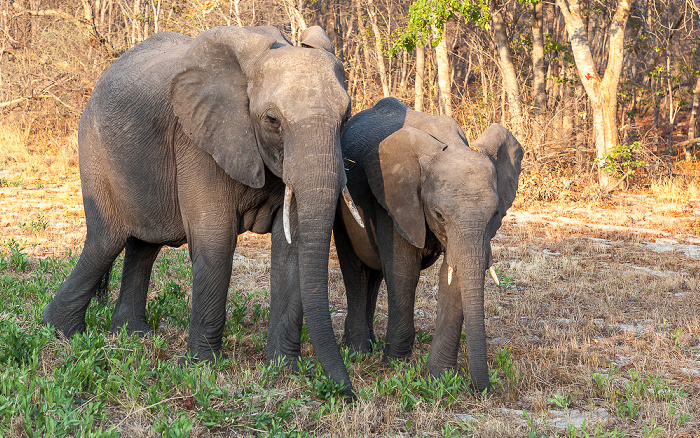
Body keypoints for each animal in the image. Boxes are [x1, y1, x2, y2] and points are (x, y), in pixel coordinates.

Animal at [334, 97, 524, 392]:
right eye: (438, 215)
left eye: (495, 214)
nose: (481, 388)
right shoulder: (393, 200)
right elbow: (403, 271)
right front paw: (395, 364)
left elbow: (452, 277)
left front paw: (439, 377)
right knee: (355, 269)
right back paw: (358, 351)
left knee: (373, 275)